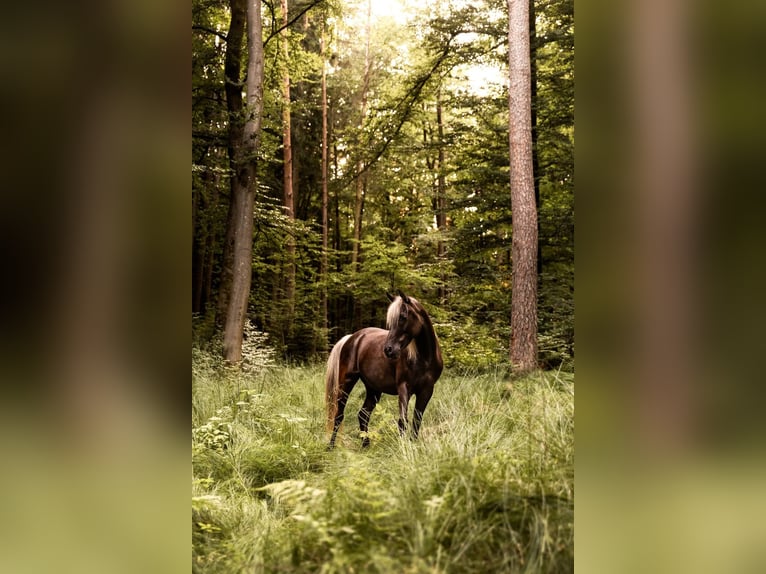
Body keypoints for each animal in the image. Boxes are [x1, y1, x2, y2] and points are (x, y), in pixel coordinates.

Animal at [325, 290, 443, 449]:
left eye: (403, 317)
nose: (388, 350)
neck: (423, 358)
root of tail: (352, 338)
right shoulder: (404, 387)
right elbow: (402, 421)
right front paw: (403, 448)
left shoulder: (427, 390)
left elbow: (416, 420)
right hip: (346, 382)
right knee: (338, 415)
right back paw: (331, 446)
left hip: (373, 389)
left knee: (363, 414)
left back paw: (366, 445)